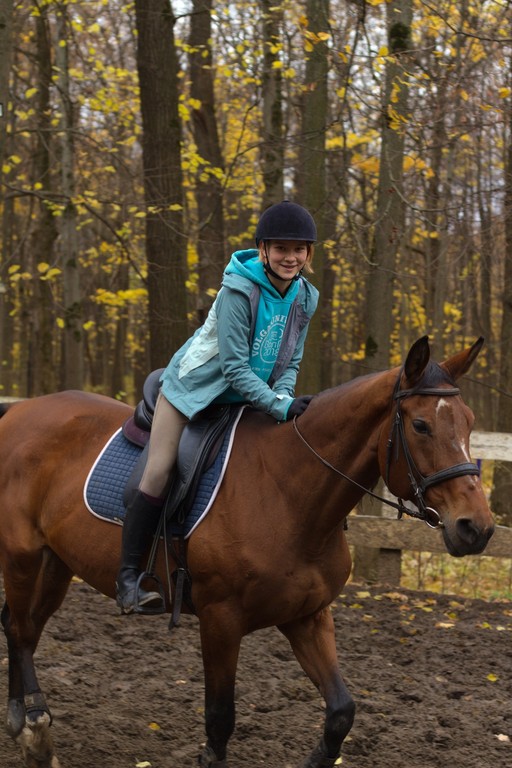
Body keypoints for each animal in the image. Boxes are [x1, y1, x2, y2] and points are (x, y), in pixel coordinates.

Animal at [0, 338, 496, 768]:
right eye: (420, 425)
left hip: (57, 562)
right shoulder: (221, 620)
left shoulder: (308, 616)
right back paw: (34, 731)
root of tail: (19, 411)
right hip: (22, 556)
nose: (477, 528)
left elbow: (341, 712)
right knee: (21, 629)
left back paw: (17, 720)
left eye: (470, 422)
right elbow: (220, 720)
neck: (287, 493)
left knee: (23, 627)